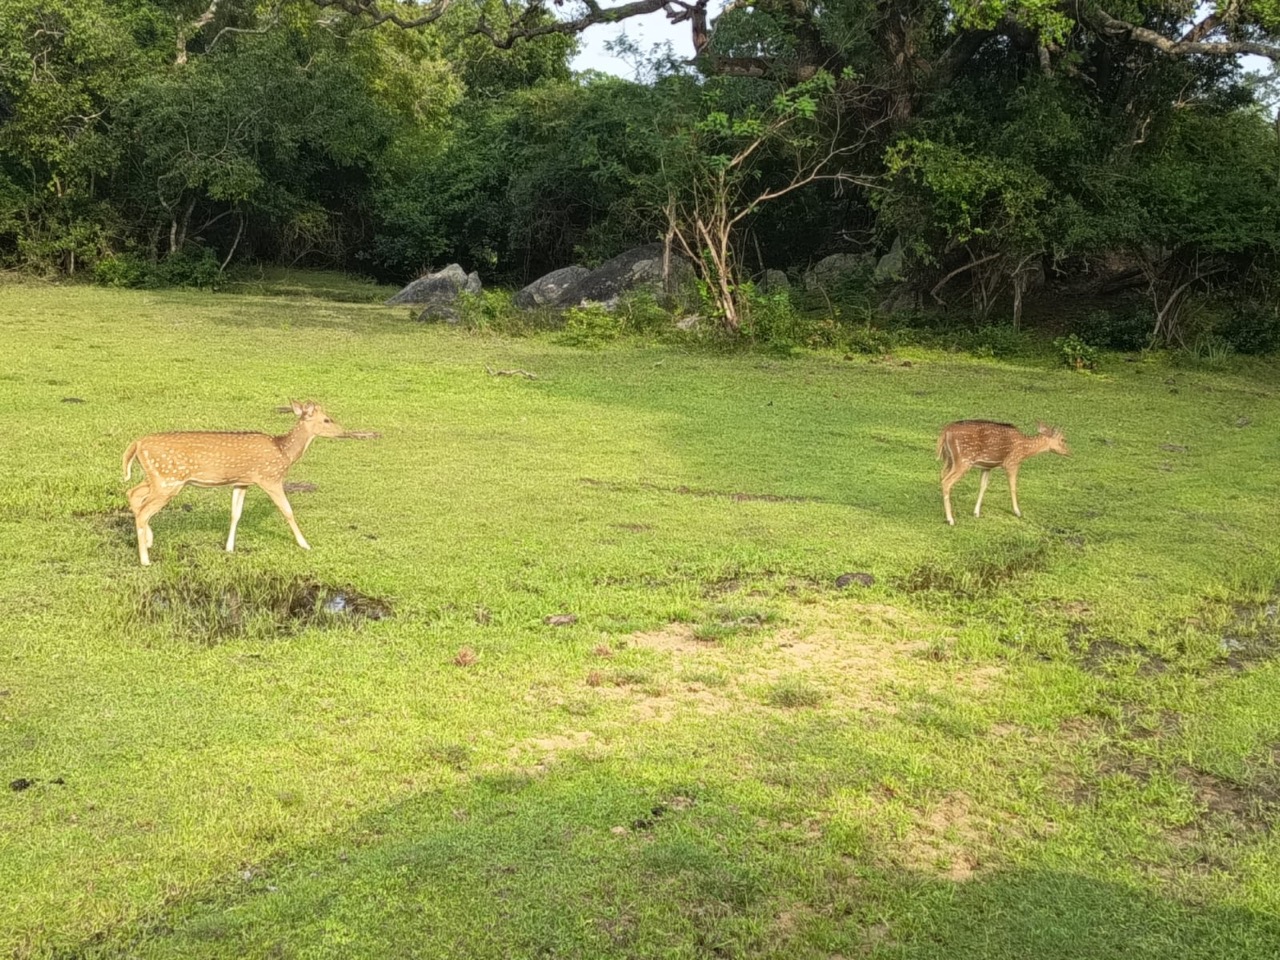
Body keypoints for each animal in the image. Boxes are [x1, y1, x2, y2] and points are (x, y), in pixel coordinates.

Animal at [122, 400, 346, 565]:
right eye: (327, 419)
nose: (343, 431)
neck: (284, 453)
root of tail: (137, 443)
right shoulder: (270, 477)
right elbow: (287, 510)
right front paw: (305, 544)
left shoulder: (242, 482)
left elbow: (235, 514)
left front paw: (229, 548)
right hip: (168, 480)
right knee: (143, 511)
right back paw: (145, 560)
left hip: (156, 478)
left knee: (133, 493)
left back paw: (148, 542)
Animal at [936, 420, 1069, 526]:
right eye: (1063, 439)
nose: (1069, 452)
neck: (1024, 450)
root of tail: (945, 431)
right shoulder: (1012, 463)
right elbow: (1013, 487)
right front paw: (1018, 512)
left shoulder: (987, 467)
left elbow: (983, 487)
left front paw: (976, 512)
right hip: (963, 461)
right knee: (946, 481)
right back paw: (950, 520)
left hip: (949, 460)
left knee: (942, 476)